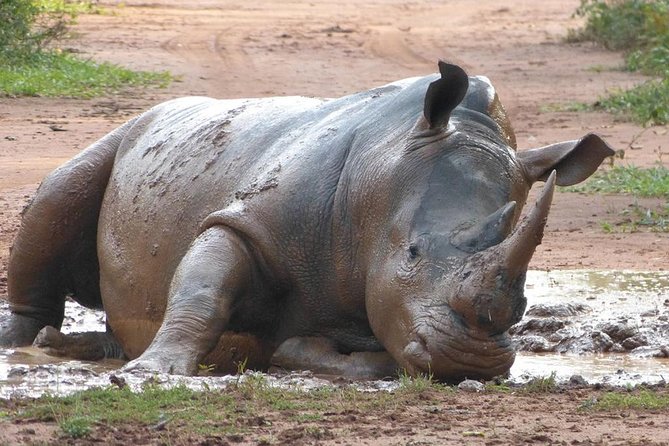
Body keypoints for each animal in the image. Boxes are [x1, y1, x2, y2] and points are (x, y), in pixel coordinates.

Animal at [0, 62, 613, 381]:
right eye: (411, 254)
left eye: (525, 299)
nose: (474, 363)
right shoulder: (247, 222)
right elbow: (203, 288)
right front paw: (153, 372)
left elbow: (366, 352)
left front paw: (295, 351)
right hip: (128, 131)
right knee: (59, 194)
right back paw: (27, 343)